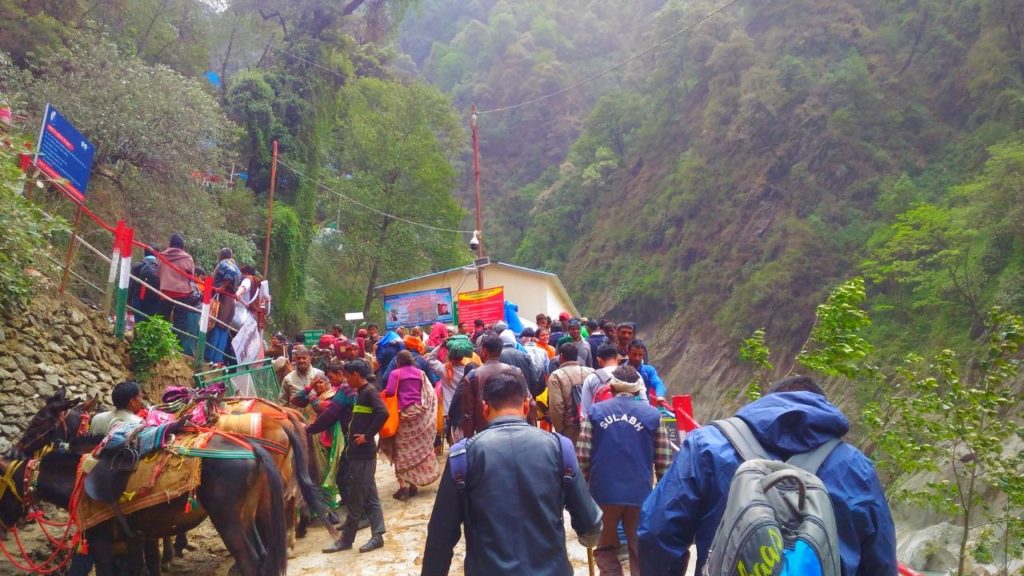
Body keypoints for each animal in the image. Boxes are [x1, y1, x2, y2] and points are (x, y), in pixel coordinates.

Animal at [0, 430, 288, 573]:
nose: (3, 525)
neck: (77, 479)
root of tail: (250, 447)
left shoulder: (101, 546)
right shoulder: (133, 541)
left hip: (228, 521)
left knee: (250, 560)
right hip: (246, 517)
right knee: (263, 556)